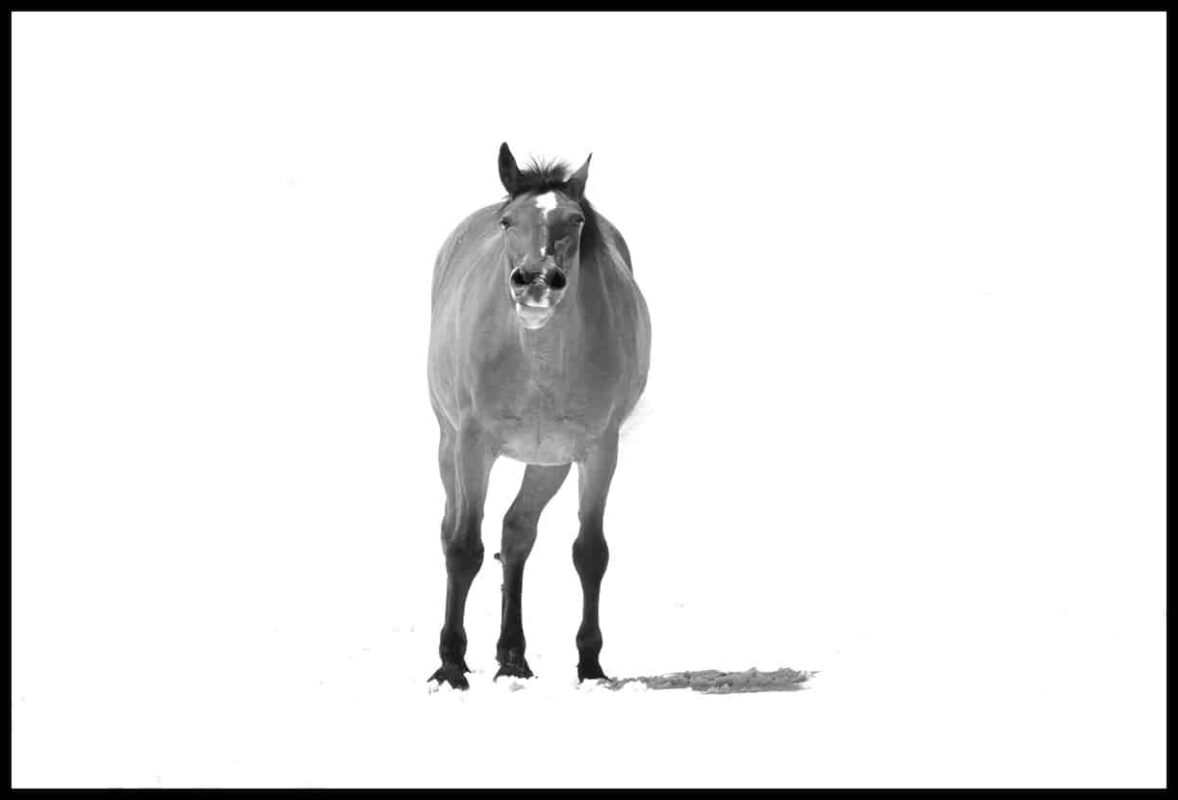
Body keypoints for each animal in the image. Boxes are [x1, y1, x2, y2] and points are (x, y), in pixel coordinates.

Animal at [426, 143, 652, 690]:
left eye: (575, 220)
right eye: (508, 221)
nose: (536, 281)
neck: (538, 359)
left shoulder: (598, 451)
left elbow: (590, 553)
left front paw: (590, 664)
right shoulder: (472, 445)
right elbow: (463, 548)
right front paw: (450, 666)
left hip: (548, 463)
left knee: (517, 532)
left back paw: (513, 655)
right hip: (448, 445)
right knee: (453, 530)